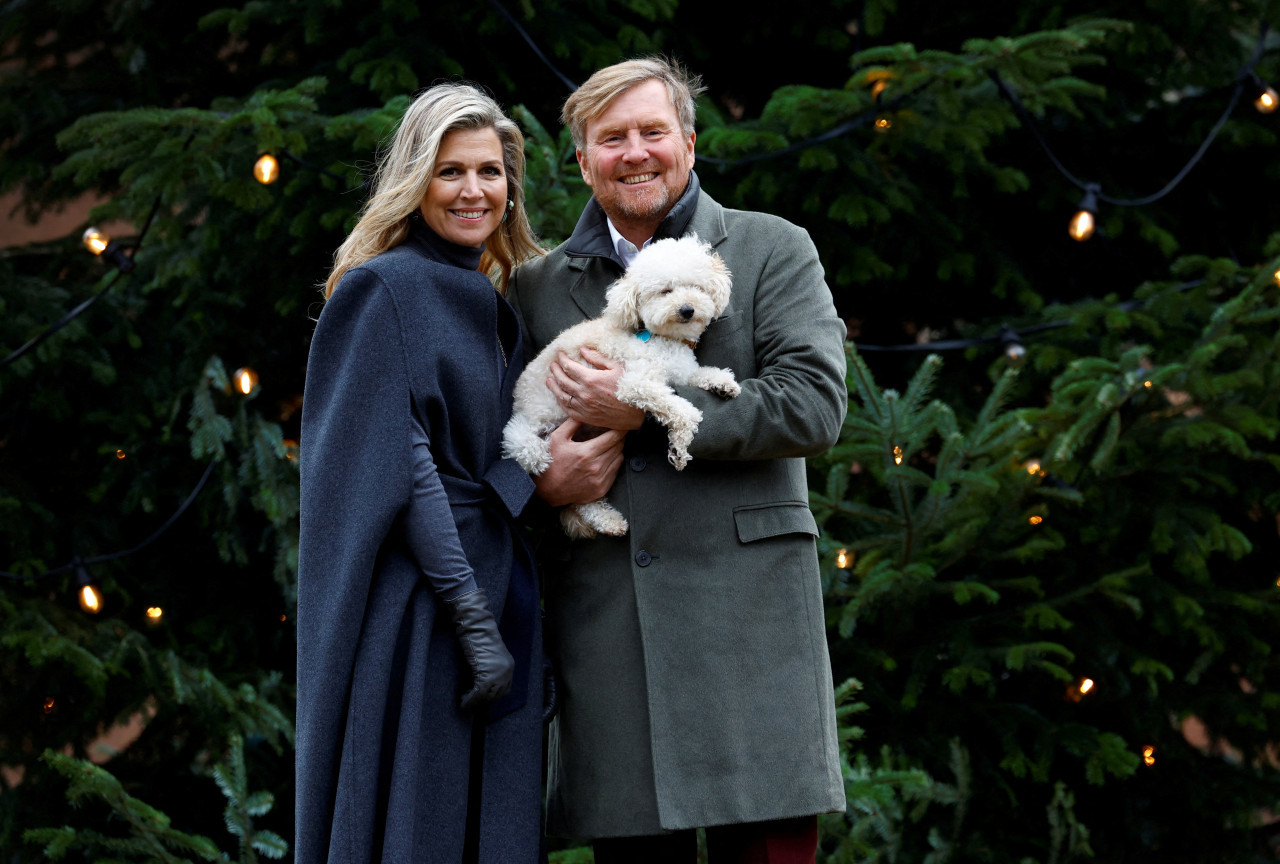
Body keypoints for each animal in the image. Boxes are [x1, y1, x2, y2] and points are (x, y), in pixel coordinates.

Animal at [501, 232, 742, 537]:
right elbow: (682, 410)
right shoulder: (635, 382)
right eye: (665, 291)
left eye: (696, 287)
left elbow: (700, 374)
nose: (687, 309)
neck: (660, 337)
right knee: (526, 448)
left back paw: (608, 520)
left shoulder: (681, 371)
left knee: (582, 498)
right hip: (534, 430)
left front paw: (723, 383)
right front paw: (679, 446)